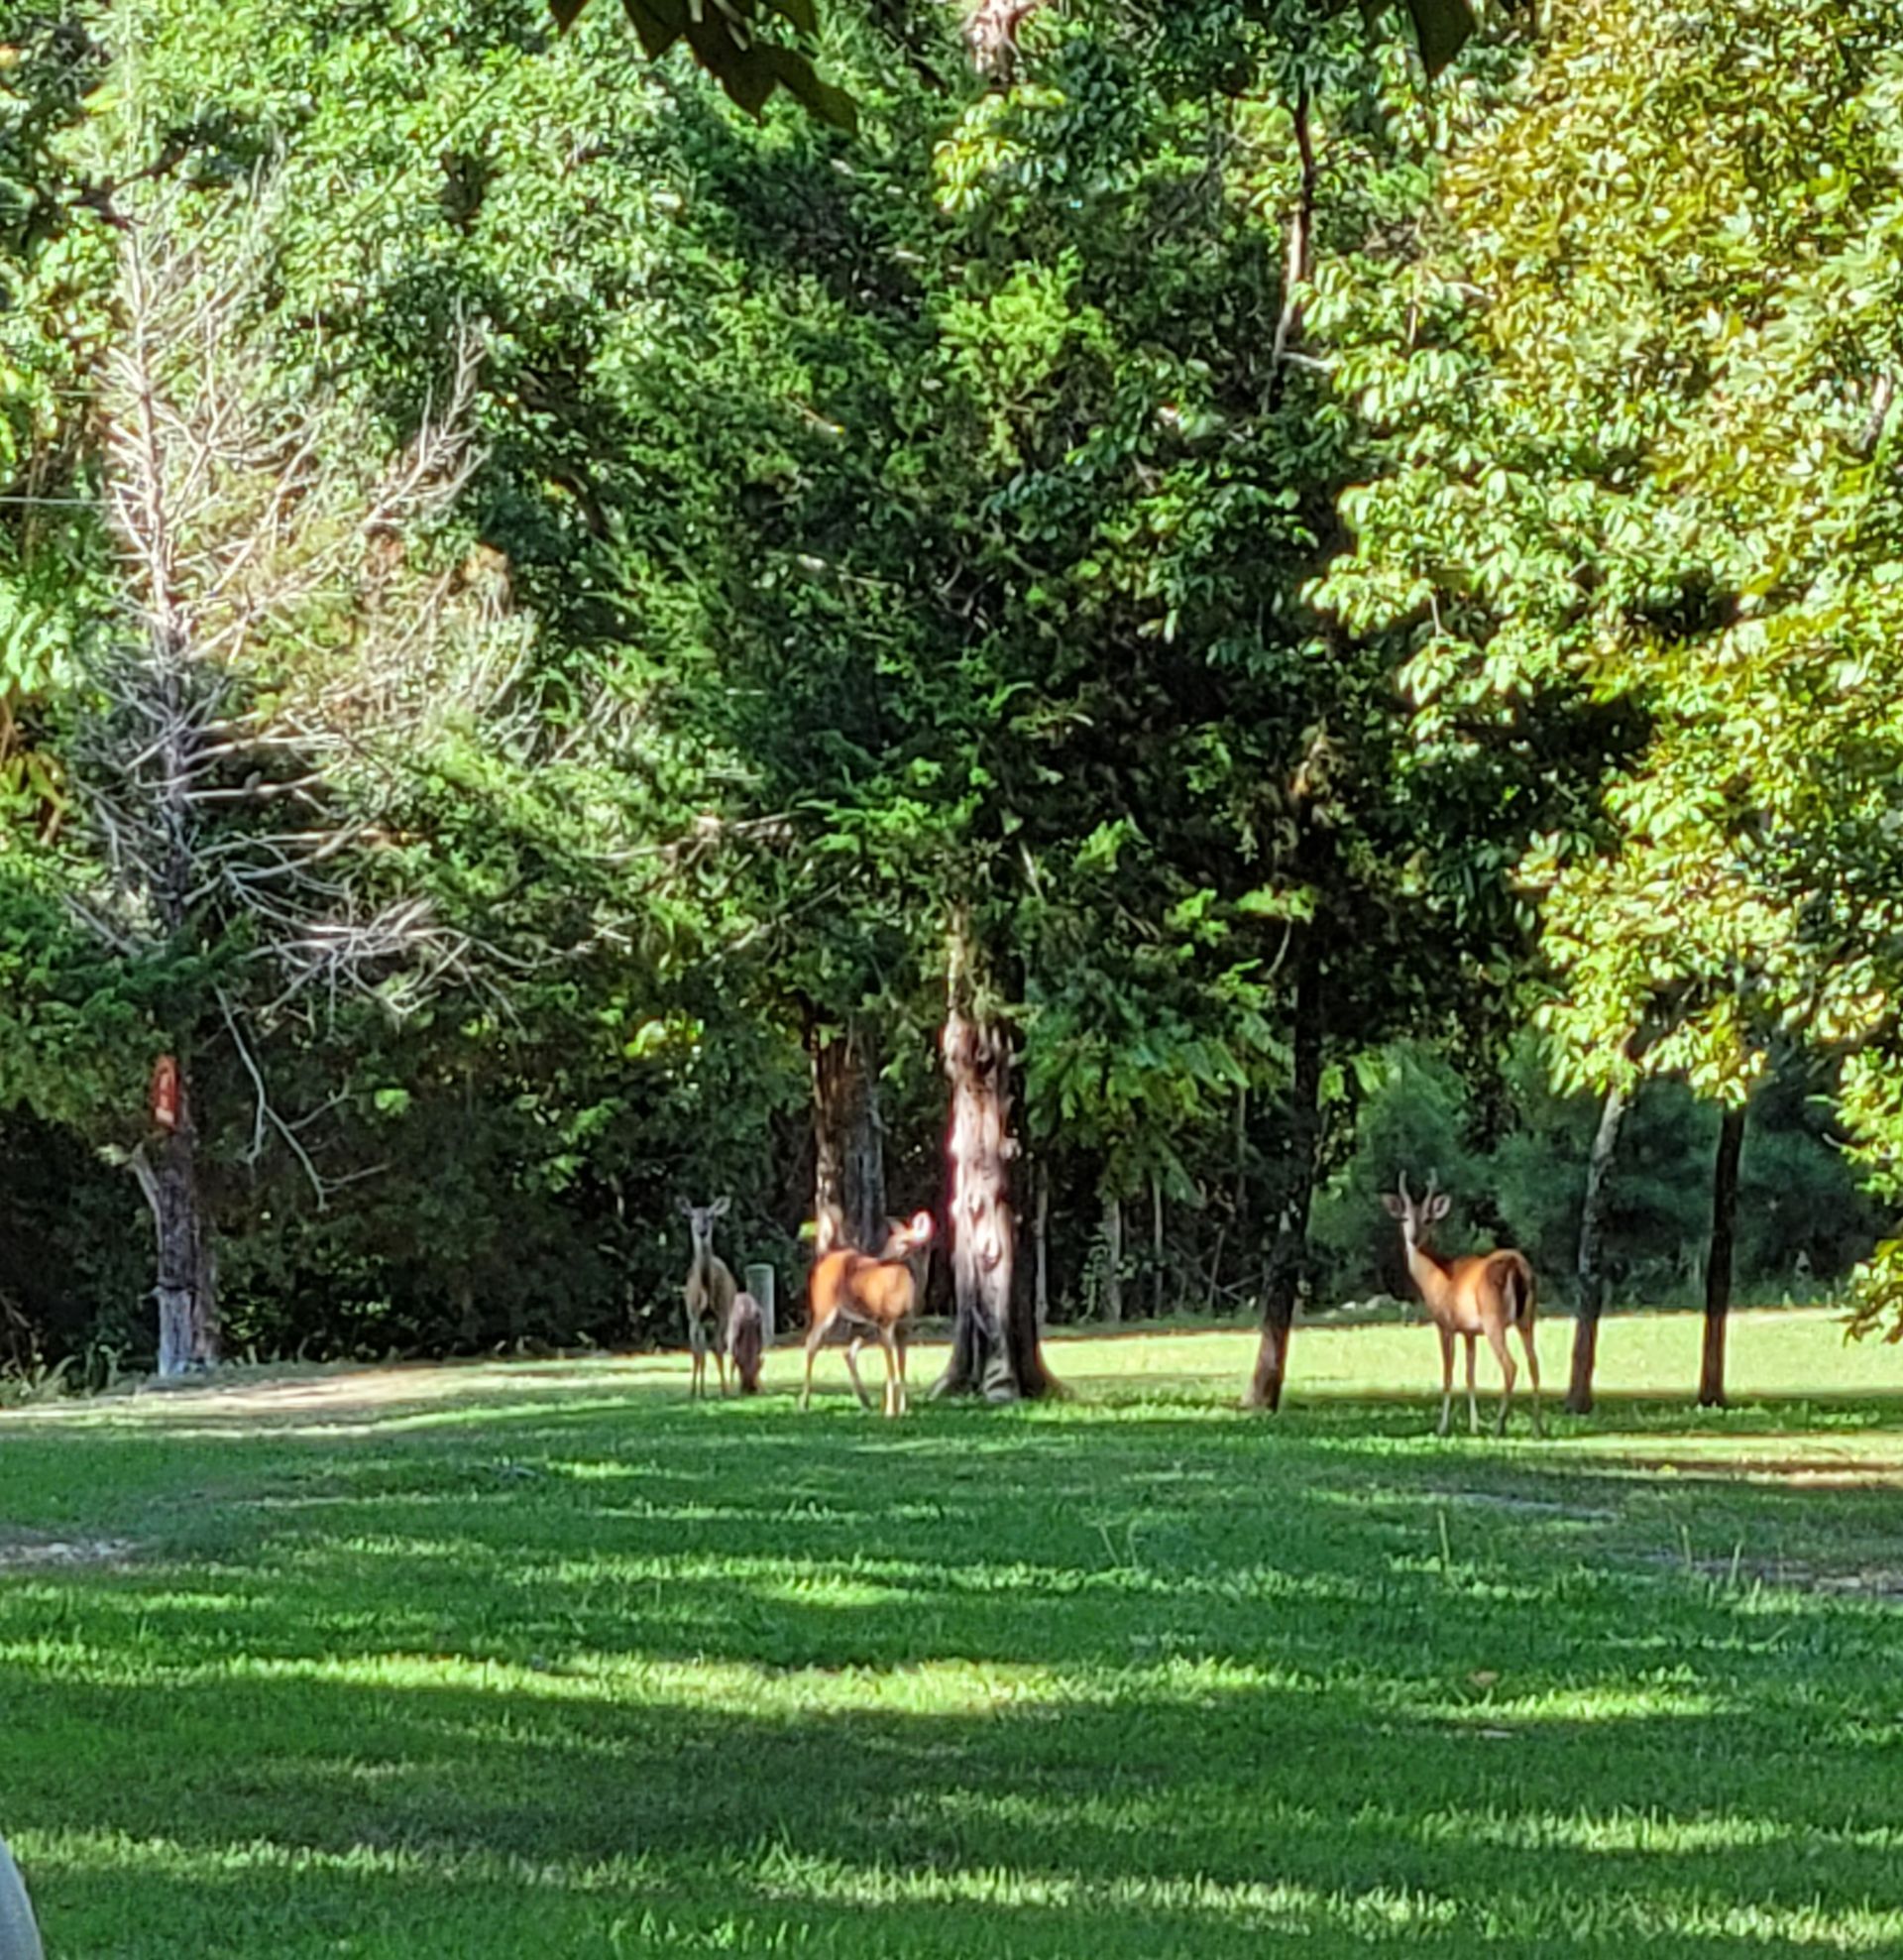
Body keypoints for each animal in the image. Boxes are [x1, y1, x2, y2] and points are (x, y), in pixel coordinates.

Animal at [679, 1197, 738, 1398]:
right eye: (691, 1216)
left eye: (711, 1217)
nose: (702, 1231)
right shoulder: (696, 1317)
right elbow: (699, 1355)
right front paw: (698, 1392)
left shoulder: (722, 1314)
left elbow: (719, 1350)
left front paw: (724, 1391)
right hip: (693, 1321)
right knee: (698, 1352)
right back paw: (696, 1390)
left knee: (721, 1348)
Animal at [800, 1211, 935, 1418]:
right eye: (890, 1239)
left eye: (904, 1241)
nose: (879, 1257)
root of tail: (825, 1258)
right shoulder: (885, 1321)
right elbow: (891, 1370)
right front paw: (890, 1412)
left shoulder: (904, 1326)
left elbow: (901, 1367)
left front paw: (903, 1408)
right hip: (825, 1308)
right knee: (812, 1343)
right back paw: (804, 1403)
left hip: (857, 1322)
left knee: (845, 1351)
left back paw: (865, 1400)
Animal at [1382, 1170, 1542, 1438]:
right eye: (1405, 1217)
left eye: (1428, 1219)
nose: (1414, 1239)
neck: (1436, 1277)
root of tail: (1516, 1266)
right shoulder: (1469, 1331)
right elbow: (1470, 1375)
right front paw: (1474, 1426)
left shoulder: (1445, 1324)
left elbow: (1448, 1374)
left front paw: (1442, 1426)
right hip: (1527, 1317)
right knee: (1534, 1363)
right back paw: (1538, 1427)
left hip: (1493, 1319)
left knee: (1511, 1366)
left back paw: (1499, 1425)